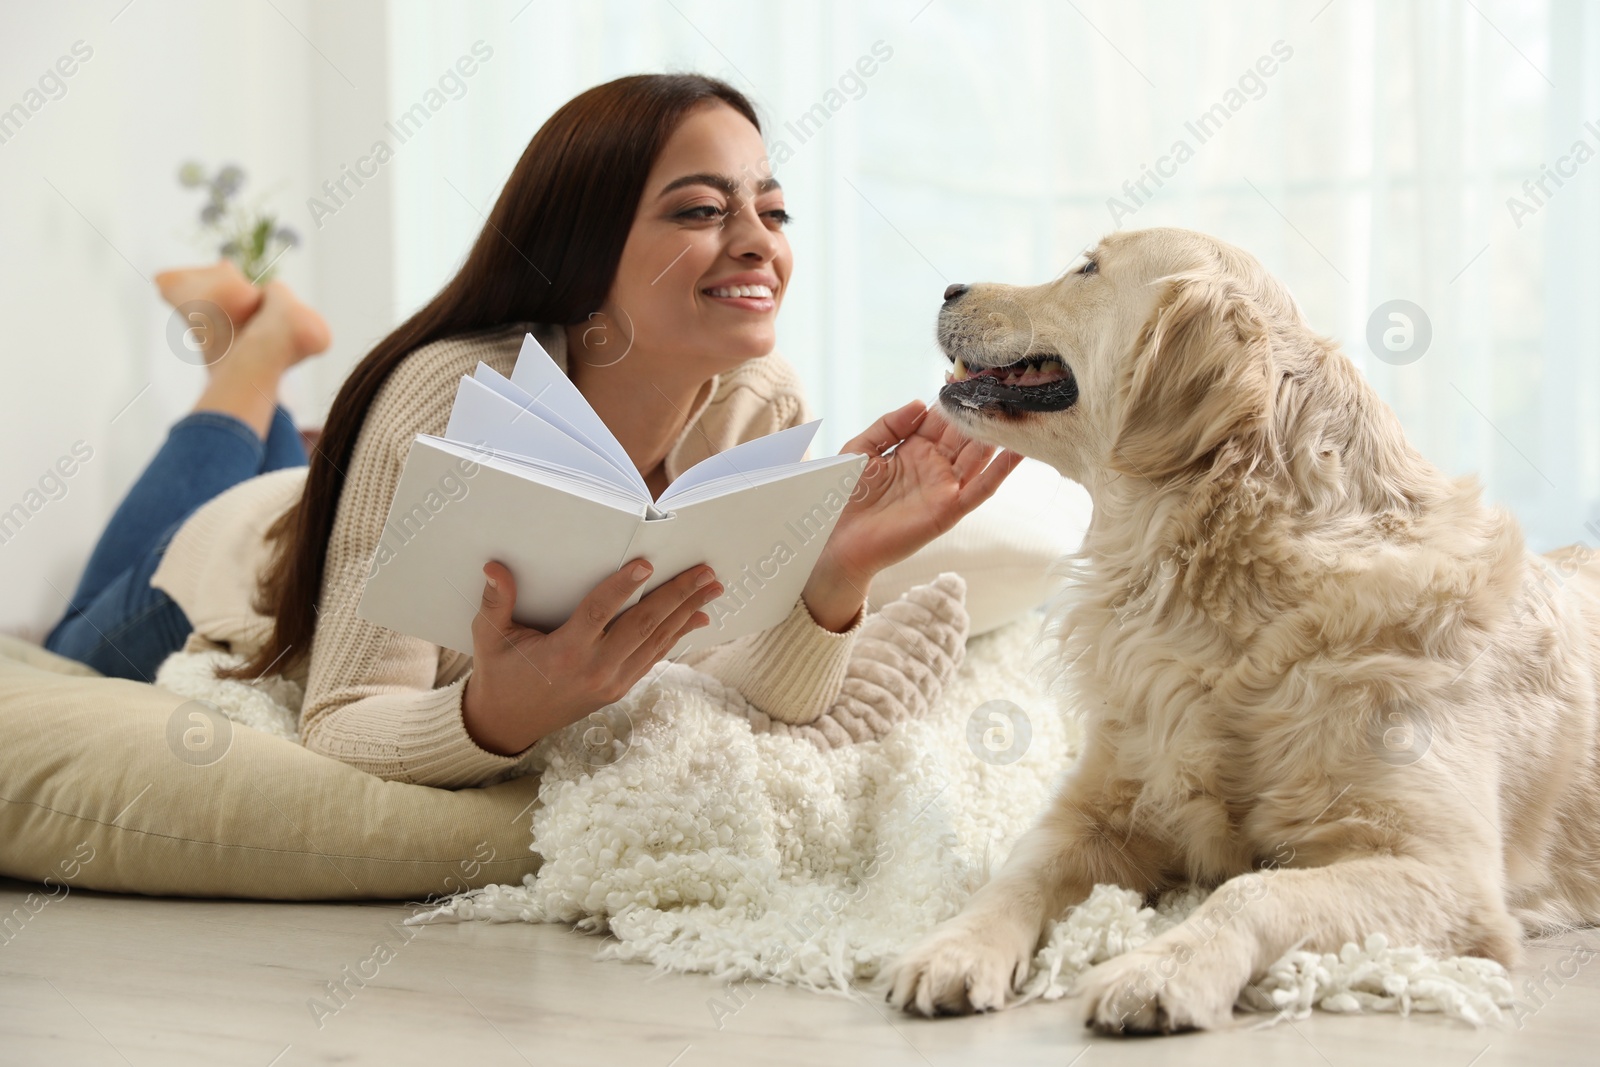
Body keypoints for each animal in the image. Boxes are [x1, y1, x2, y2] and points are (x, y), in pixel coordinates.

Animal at [889, 227, 1600, 1036]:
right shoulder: (1096, 810)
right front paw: (954, 946)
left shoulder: (1445, 872)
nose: (950, 288)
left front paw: (1161, 968)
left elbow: (1253, 889)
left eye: (1088, 269)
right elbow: (1018, 871)